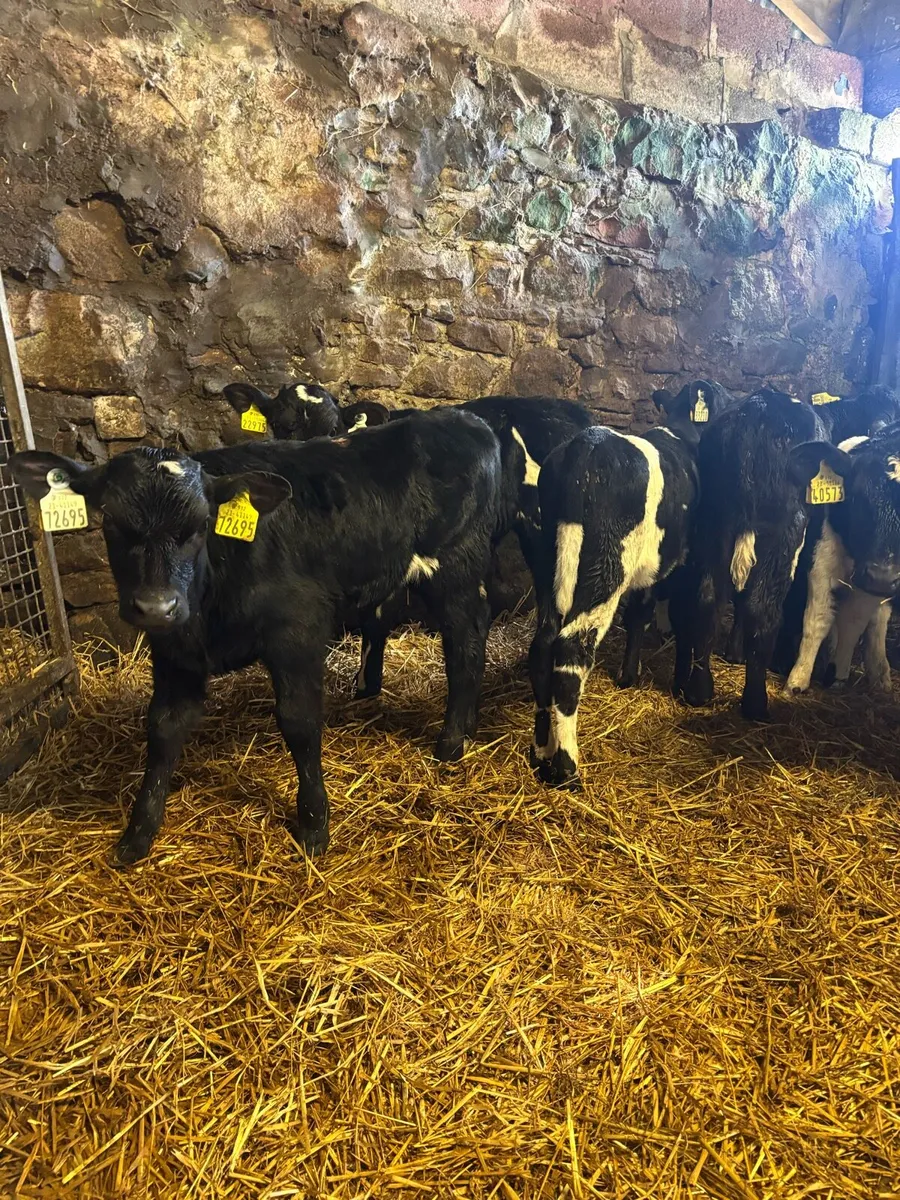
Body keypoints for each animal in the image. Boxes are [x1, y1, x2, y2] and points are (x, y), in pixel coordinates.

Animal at [10, 408, 500, 864]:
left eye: (201, 523)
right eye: (110, 520)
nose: (156, 605)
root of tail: (464, 418)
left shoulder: (298, 631)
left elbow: (299, 722)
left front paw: (314, 824)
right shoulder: (174, 649)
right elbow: (164, 727)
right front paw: (138, 832)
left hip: (455, 568)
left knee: (465, 642)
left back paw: (452, 741)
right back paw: (465, 725)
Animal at [528, 415, 700, 789]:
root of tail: (589, 443)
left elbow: (638, 614)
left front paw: (628, 674)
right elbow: (658, 615)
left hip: (546, 559)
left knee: (543, 644)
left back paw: (542, 752)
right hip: (605, 568)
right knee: (572, 648)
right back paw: (566, 766)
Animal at [675, 388, 848, 721]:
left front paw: (734, 652)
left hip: (715, 522)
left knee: (708, 597)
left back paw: (699, 691)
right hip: (784, 531)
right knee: (763, 608)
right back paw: (756, 703)